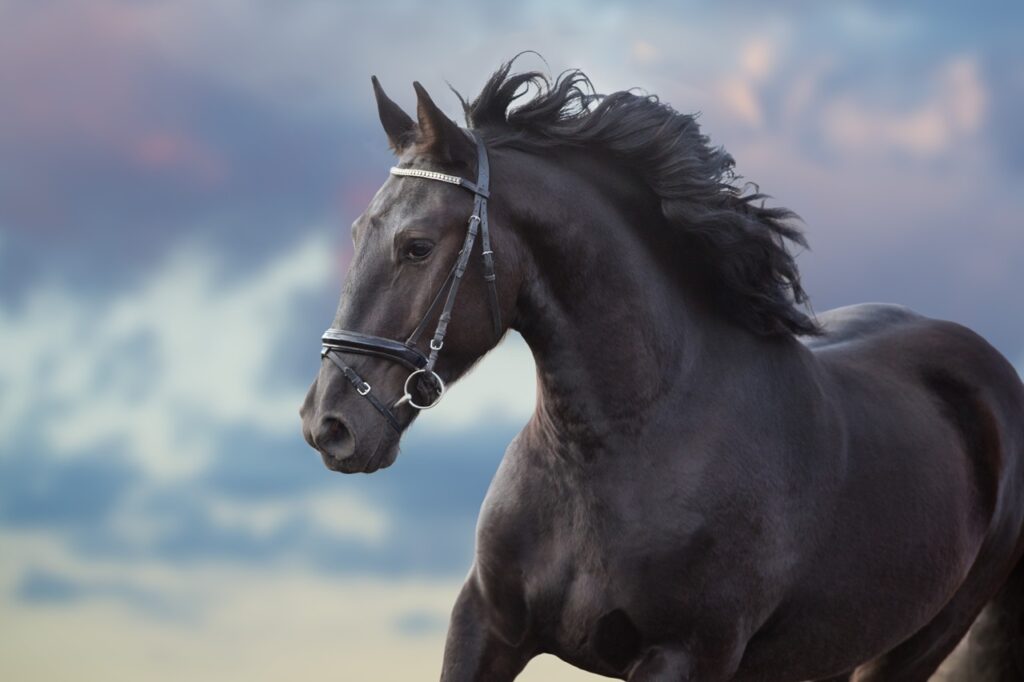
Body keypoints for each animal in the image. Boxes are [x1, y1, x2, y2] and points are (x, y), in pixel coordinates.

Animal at [299, 61, 1024, 681]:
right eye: (358, 232)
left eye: (417, 247)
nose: (327, 424)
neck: (623, 445)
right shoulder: (486, 625)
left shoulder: (683, 655)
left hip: (913, 646)